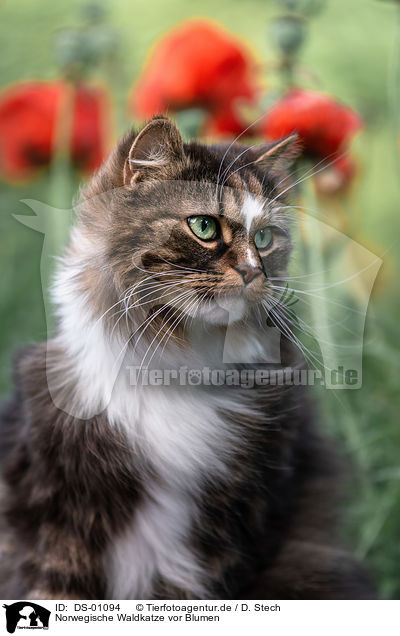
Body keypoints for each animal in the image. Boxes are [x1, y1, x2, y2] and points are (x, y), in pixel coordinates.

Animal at [0, 117, 376, 600]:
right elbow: (55, 590)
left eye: (264, 238)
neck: (178, 365)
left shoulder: (225, 526)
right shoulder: (58, 521)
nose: (254, 272)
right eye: (203, 227)